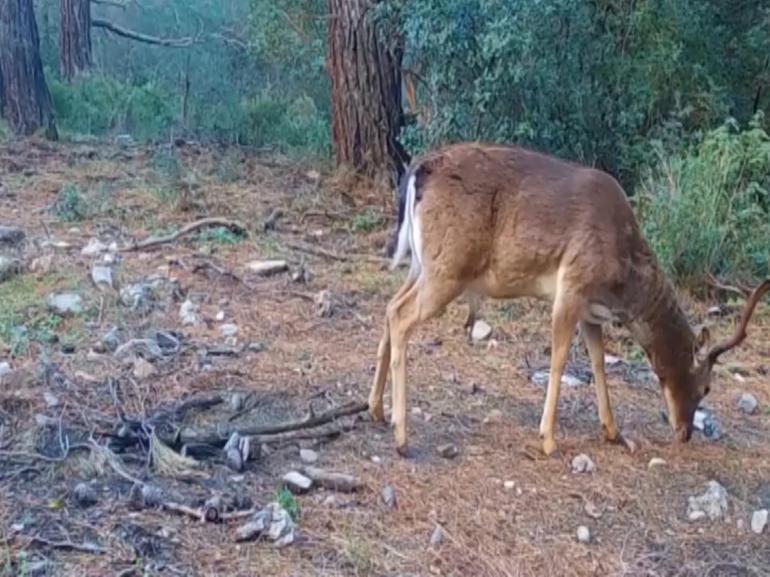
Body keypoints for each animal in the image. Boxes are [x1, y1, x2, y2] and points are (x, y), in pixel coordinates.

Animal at [368, 142, 764, 456]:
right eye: (707, 386)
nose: (684, 433)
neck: (622, 284)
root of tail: (419, 171)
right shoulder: (573, 283)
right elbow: (559, 358)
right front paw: (548, 439)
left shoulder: (591, 311)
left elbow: (598, 361)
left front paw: (613, 432)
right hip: (448, 267)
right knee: (401, 315)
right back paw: (401, 437)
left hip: (421, 265)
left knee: (389, 306)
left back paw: (376, 410)